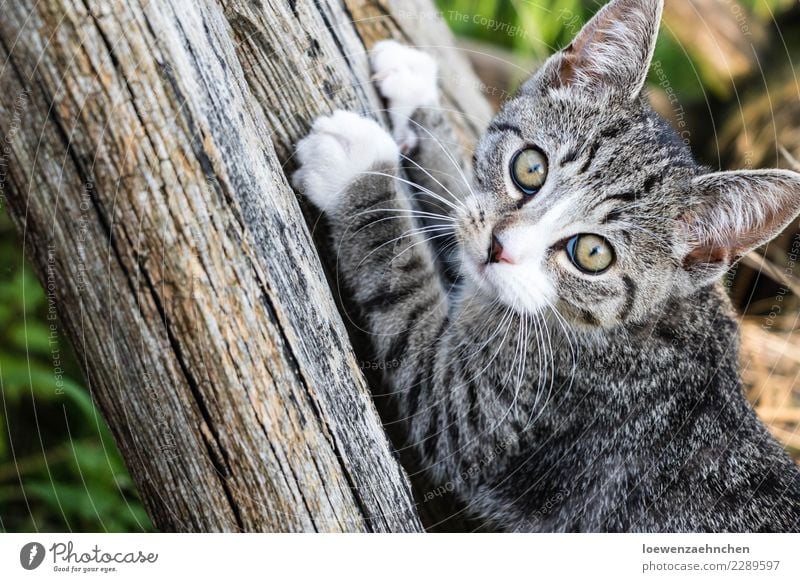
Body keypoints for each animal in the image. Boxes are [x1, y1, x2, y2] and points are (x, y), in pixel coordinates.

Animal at [292, 0, 800, 532]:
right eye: (529, 168)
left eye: (592, 255)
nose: (499, 248)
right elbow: (457, 205)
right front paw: (416, 91)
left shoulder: (495, 413)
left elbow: (406, 298)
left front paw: (358, 167)